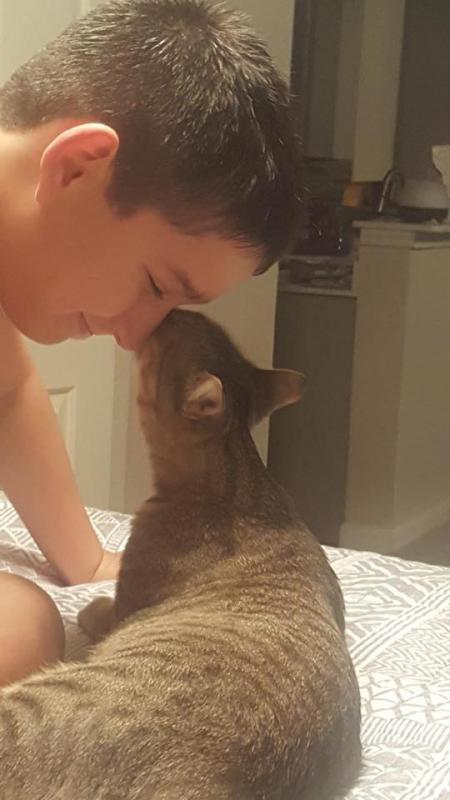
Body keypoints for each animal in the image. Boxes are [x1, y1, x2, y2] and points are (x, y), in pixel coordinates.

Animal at [0, 309, 361, 800]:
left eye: (166, 334)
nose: (171, 311)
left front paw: (92, 607)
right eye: (200, 319)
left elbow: (102, 608)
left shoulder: (126, 598)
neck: (237, 479)